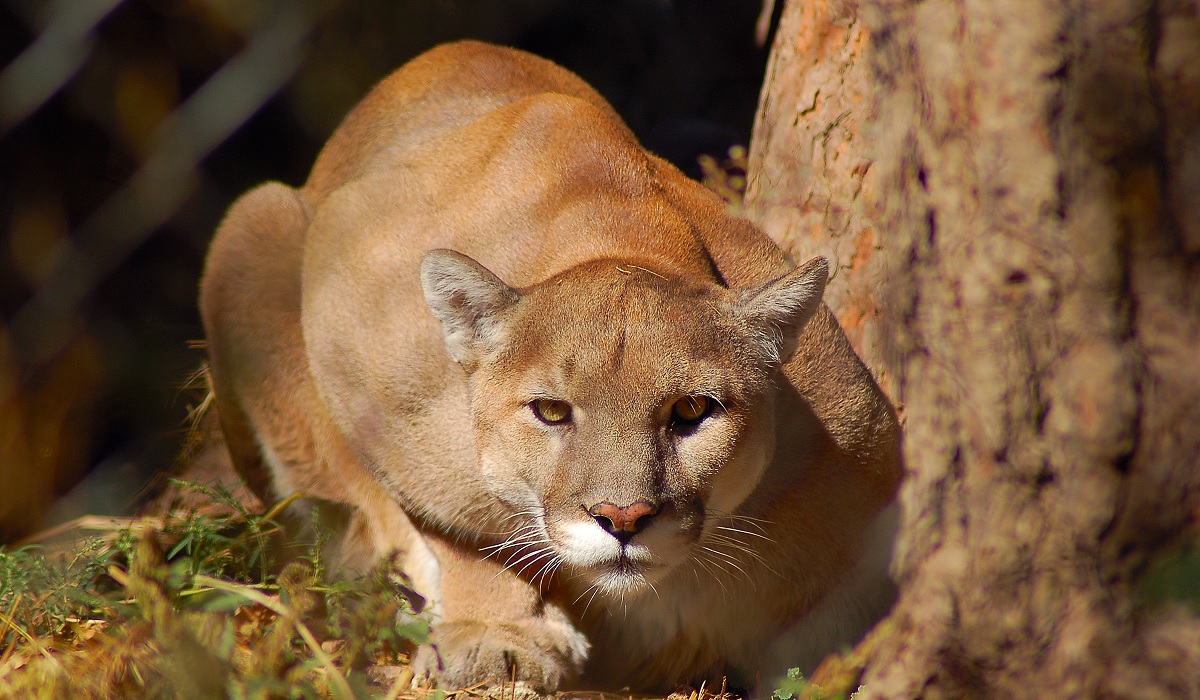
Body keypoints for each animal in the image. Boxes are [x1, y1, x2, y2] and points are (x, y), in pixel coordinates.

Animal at [201, 39, 902, 696]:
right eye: (550, 412)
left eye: (693, 411)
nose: (623, 519)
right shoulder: (357, 341)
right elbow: (460, 523)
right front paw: (498, 634)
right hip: (254, 224)